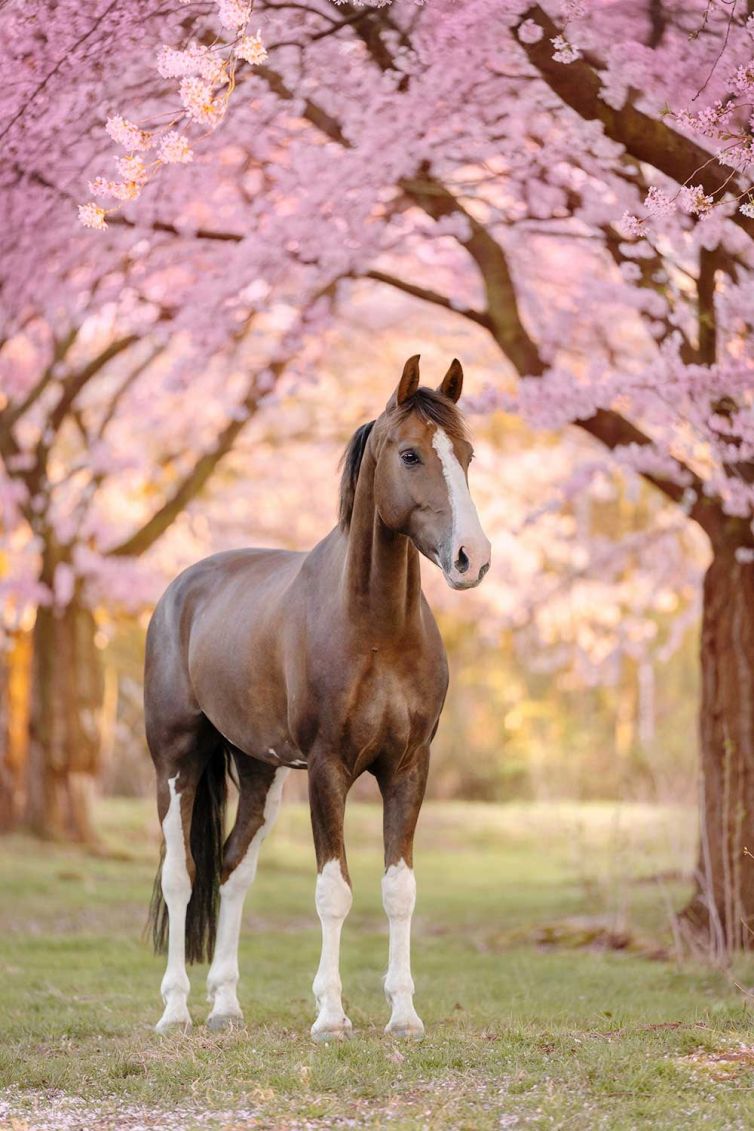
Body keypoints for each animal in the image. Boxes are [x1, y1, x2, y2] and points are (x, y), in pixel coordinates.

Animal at [144, 355, 492, 1040]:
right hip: (176, 761)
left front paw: (404, 1014)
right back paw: (175, 1010)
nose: (472, 557)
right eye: (410, 455)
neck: (376, 628)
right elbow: (334, 891)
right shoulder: (329, 769)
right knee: (182, 875)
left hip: (261, 770)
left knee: (233, 868)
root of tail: (180, 589)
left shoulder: (408, 768)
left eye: (466, 455)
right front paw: (331, 1016)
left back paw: (225, 1005)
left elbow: (398, 890)